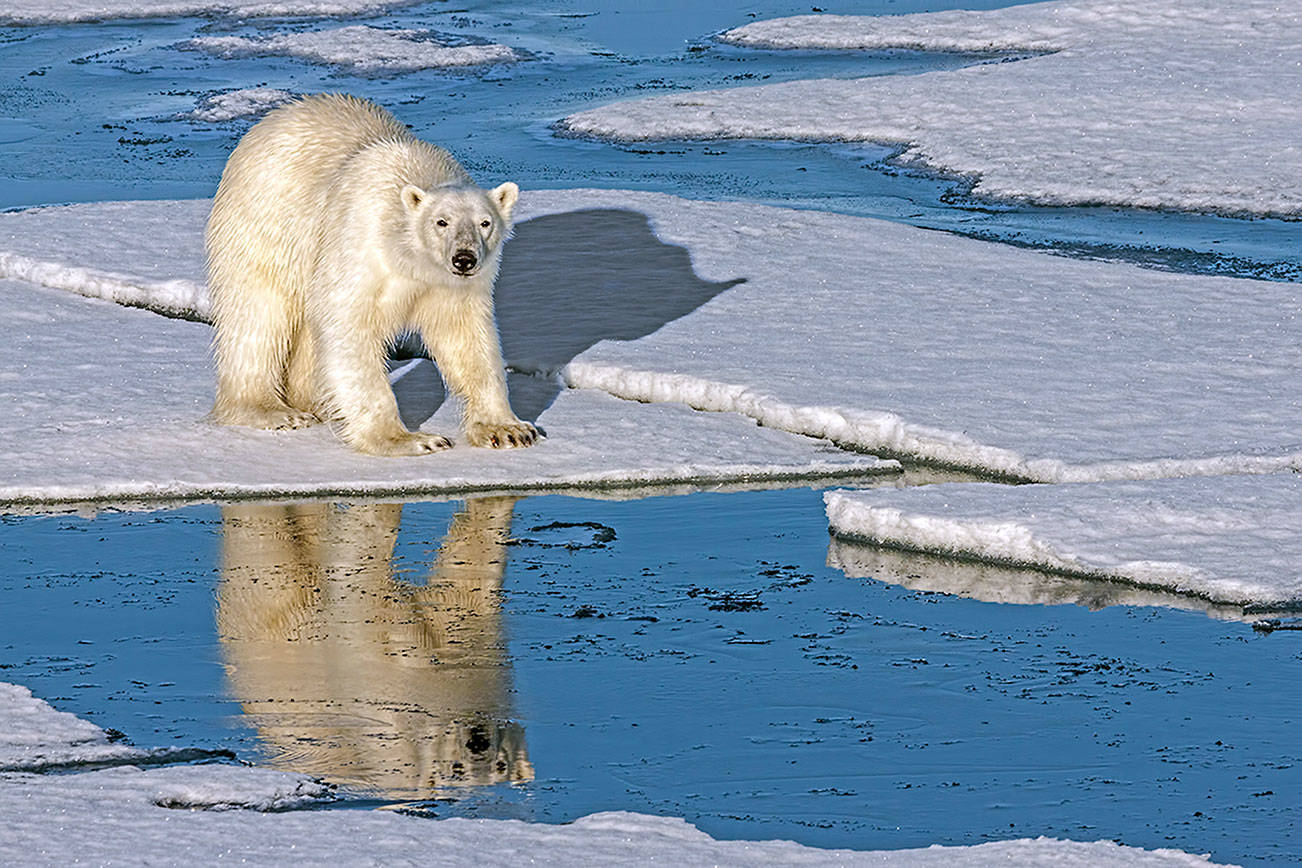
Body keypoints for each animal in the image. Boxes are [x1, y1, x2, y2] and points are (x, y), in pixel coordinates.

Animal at [208, 94, 539, 458]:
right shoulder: (361, 243)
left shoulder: (451, 286)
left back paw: (315, 403)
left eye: (485, 222)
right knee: (260, 314)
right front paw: (410, 439)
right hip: (266, 222)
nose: (464, 258)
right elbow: (349, 325)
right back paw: (272, 410)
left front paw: (509, 430)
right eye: (441, 221)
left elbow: (466, 338)